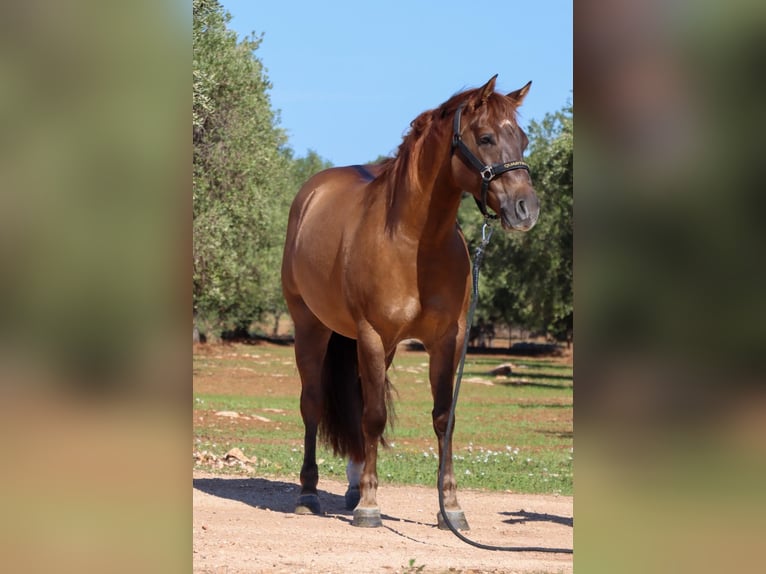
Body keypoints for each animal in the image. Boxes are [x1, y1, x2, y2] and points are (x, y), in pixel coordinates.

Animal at [281, 75, 539, 528]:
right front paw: (370, 507)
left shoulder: (447, 339)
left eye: (522, 139)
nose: (527, 209)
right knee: (312, 403)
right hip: (311, 327)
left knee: (359, 401)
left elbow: (442, 417)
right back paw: (309, 493)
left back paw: (352, 486)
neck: (414, 240)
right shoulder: (371, 333)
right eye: (486, 137)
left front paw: (450, 507)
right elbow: (375, 416)